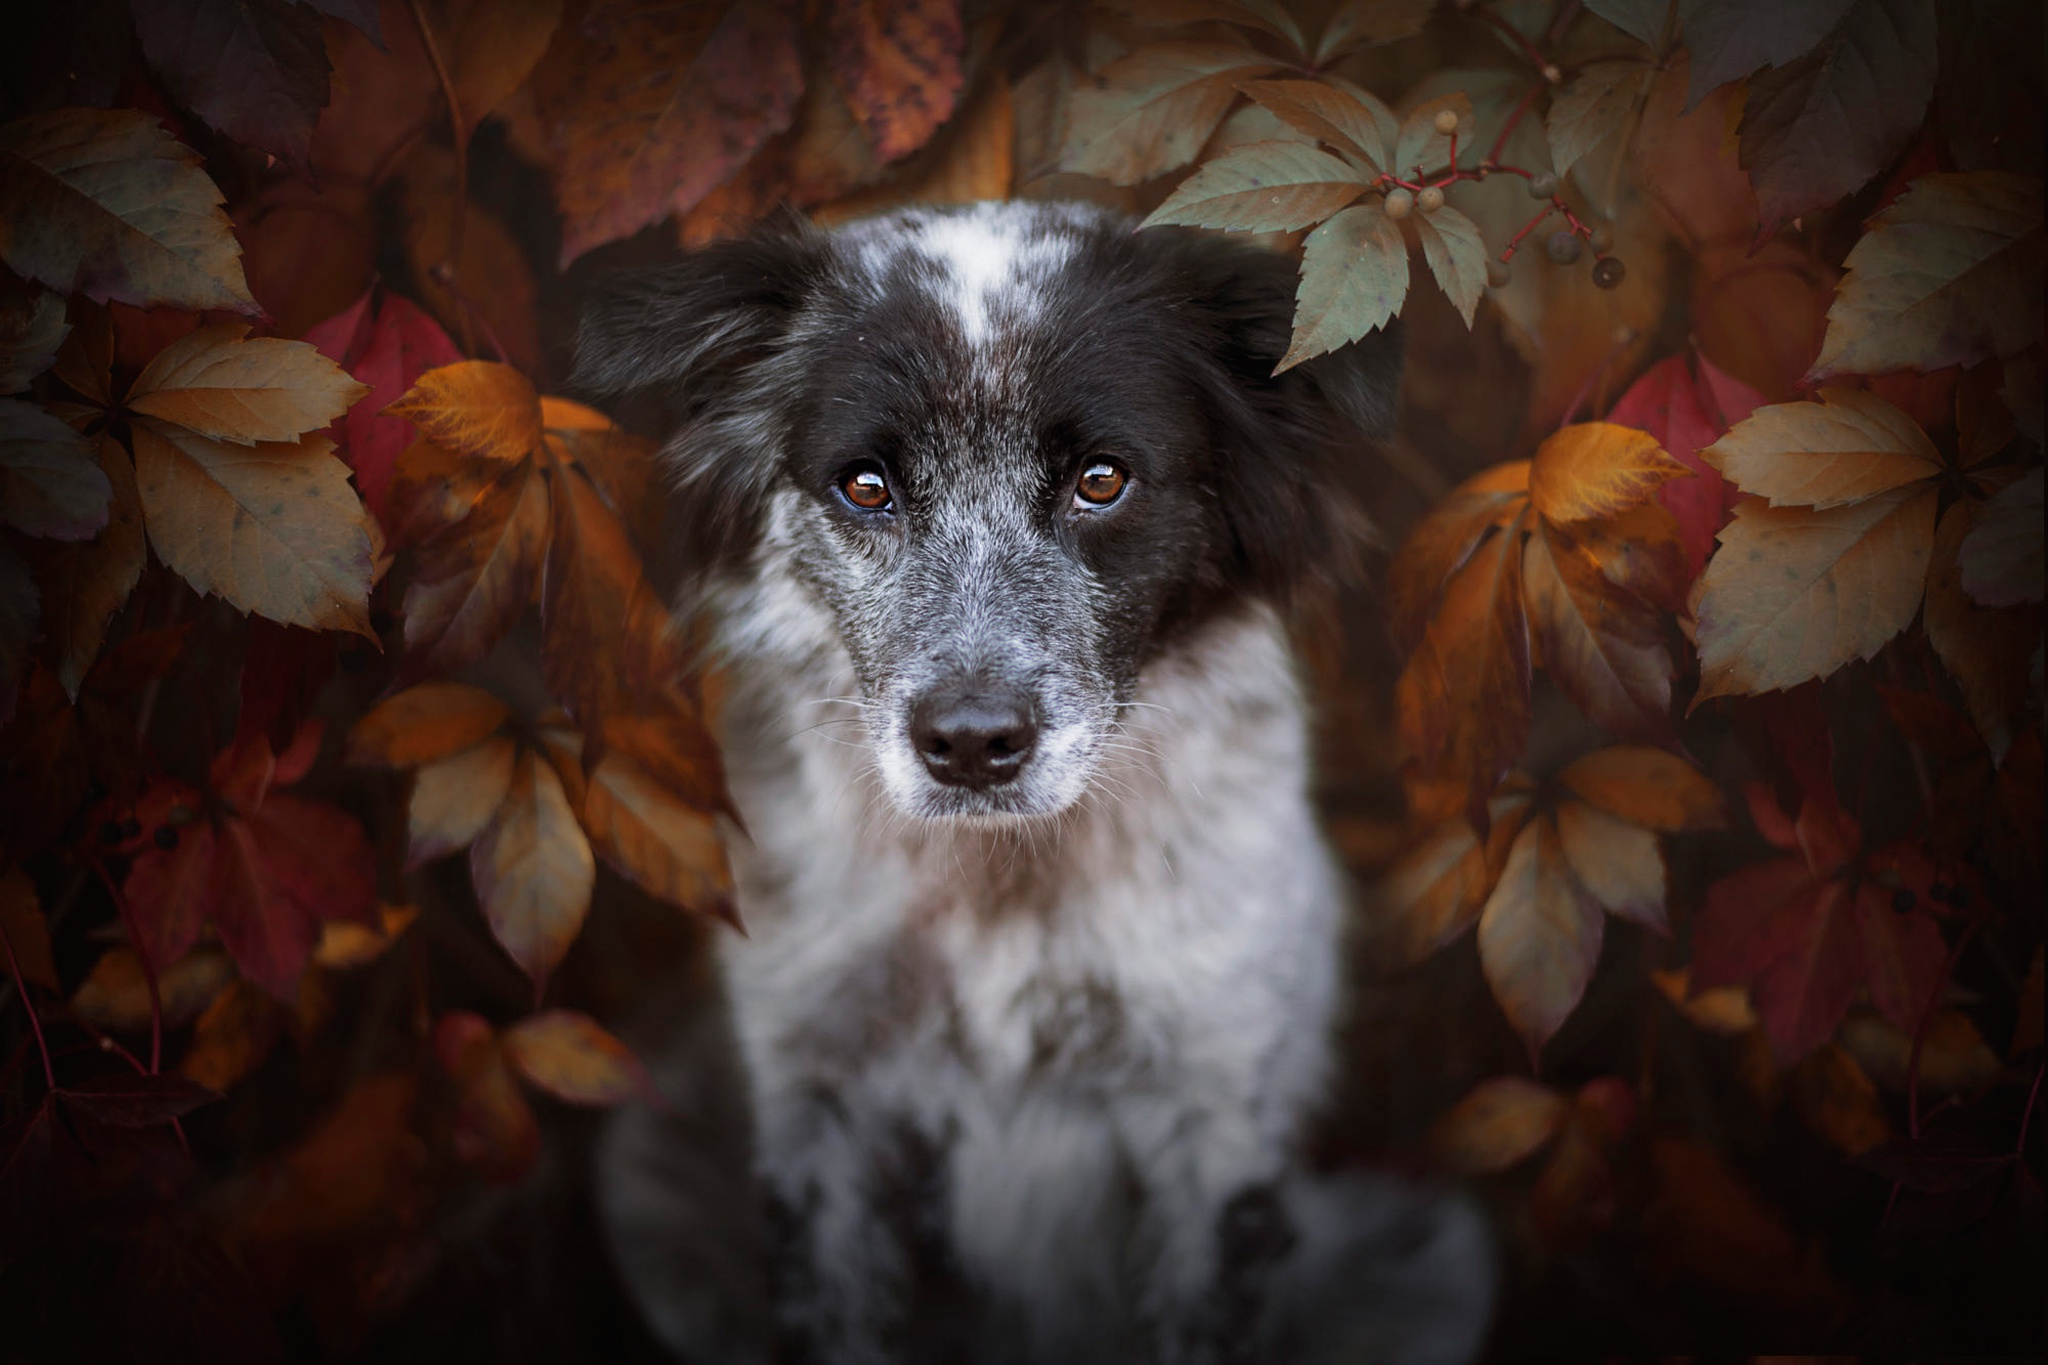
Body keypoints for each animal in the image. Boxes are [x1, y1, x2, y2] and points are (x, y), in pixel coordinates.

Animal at [569, 194, 1499, 1365]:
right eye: (865, 486)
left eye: (1101, 479)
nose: (971, 743)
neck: (1003, 881)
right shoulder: (815, 1098)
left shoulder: (1217, 1116)